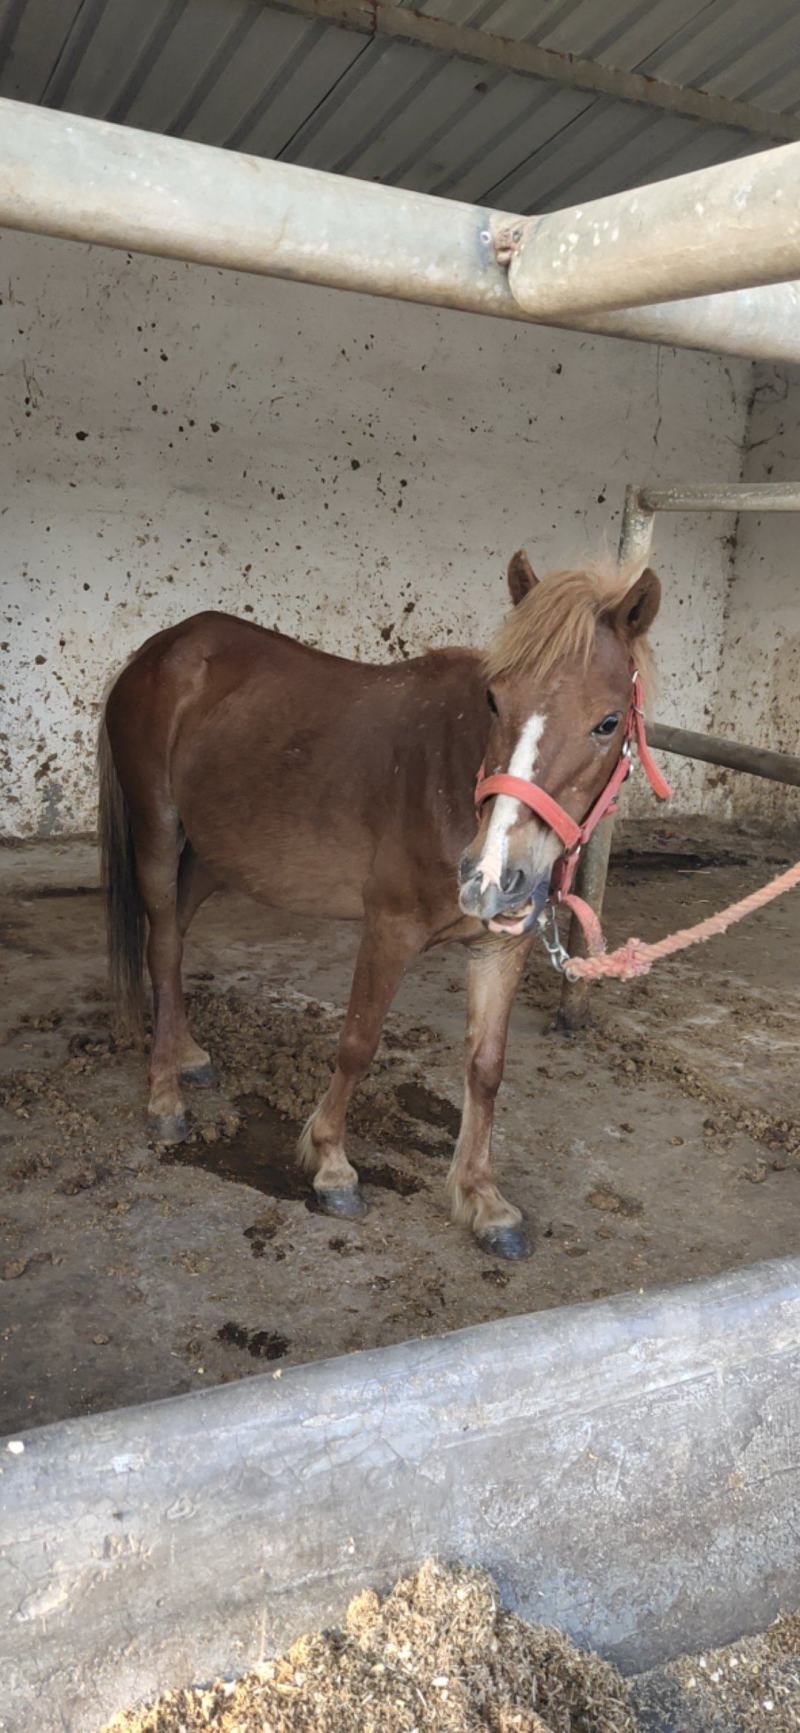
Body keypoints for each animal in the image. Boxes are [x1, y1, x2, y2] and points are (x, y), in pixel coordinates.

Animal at [98, 551, 660, 1260]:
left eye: (608, 722)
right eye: (495, 699)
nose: (490, 875)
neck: (455, 777)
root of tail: (161, 650)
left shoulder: (501, 946)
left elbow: (486, 1067)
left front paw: (484, 1200)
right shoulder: (389, 928)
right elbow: (358, 1043)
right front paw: (331, 1165)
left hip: (215, 854)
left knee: (173, 944)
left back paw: (189, 1055)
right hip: (157, 831)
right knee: (163, 942)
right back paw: (165, 1097)